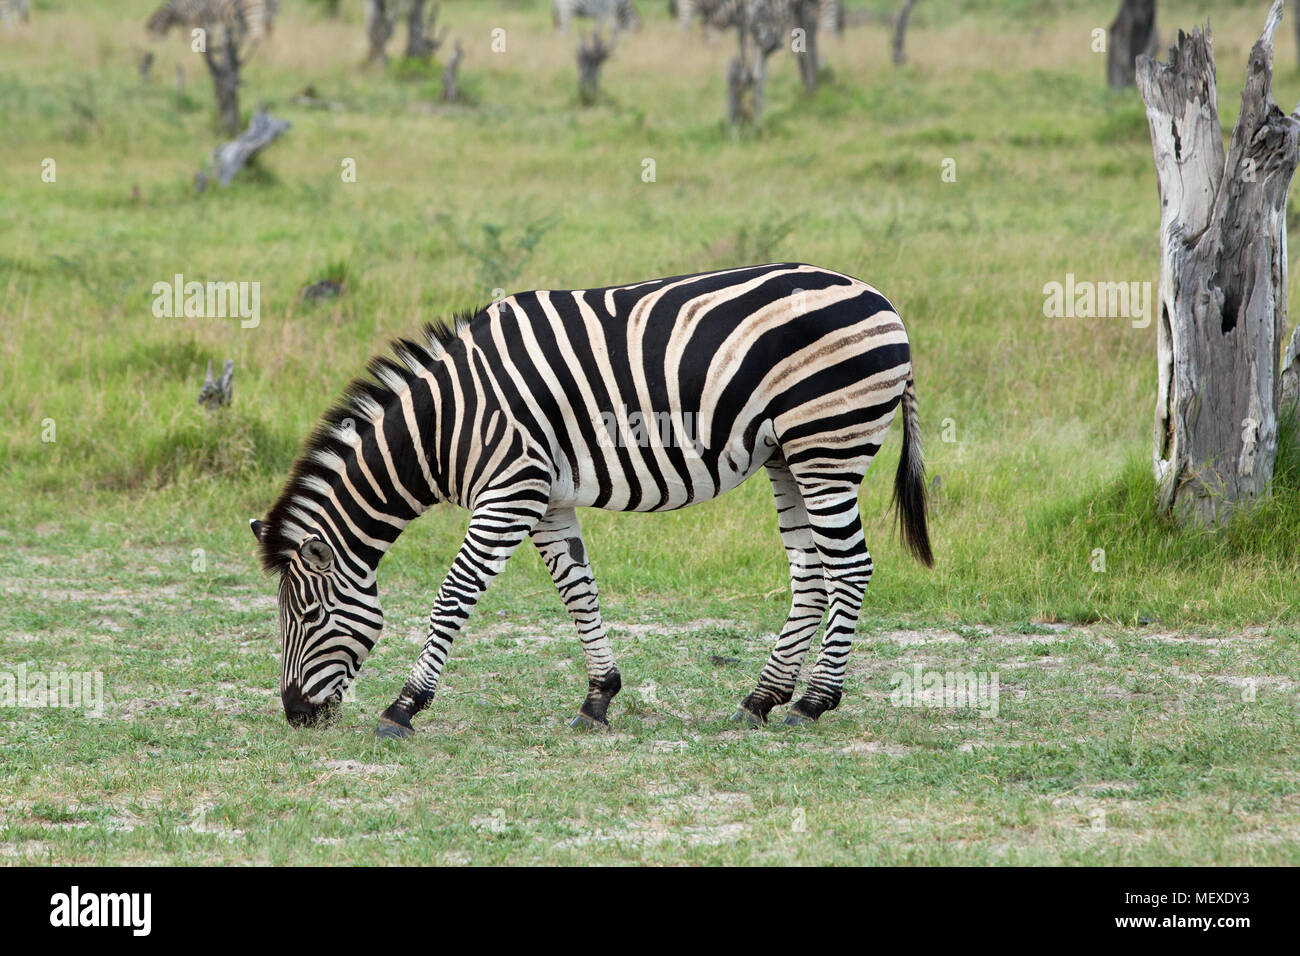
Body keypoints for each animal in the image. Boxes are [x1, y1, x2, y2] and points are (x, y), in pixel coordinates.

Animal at [248, 261, 930, 738]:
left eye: (307, 617)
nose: (295, 715)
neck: (445, 423)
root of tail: (885, 302)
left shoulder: (510, 490)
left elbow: (453, 598)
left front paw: (403, 707)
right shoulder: (545, 498)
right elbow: (579, 590)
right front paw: (599, 697)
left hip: (828, 446)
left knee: (851, 568)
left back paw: (811, 704)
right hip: (788, 457)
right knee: (811, 575)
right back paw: (760, 700)